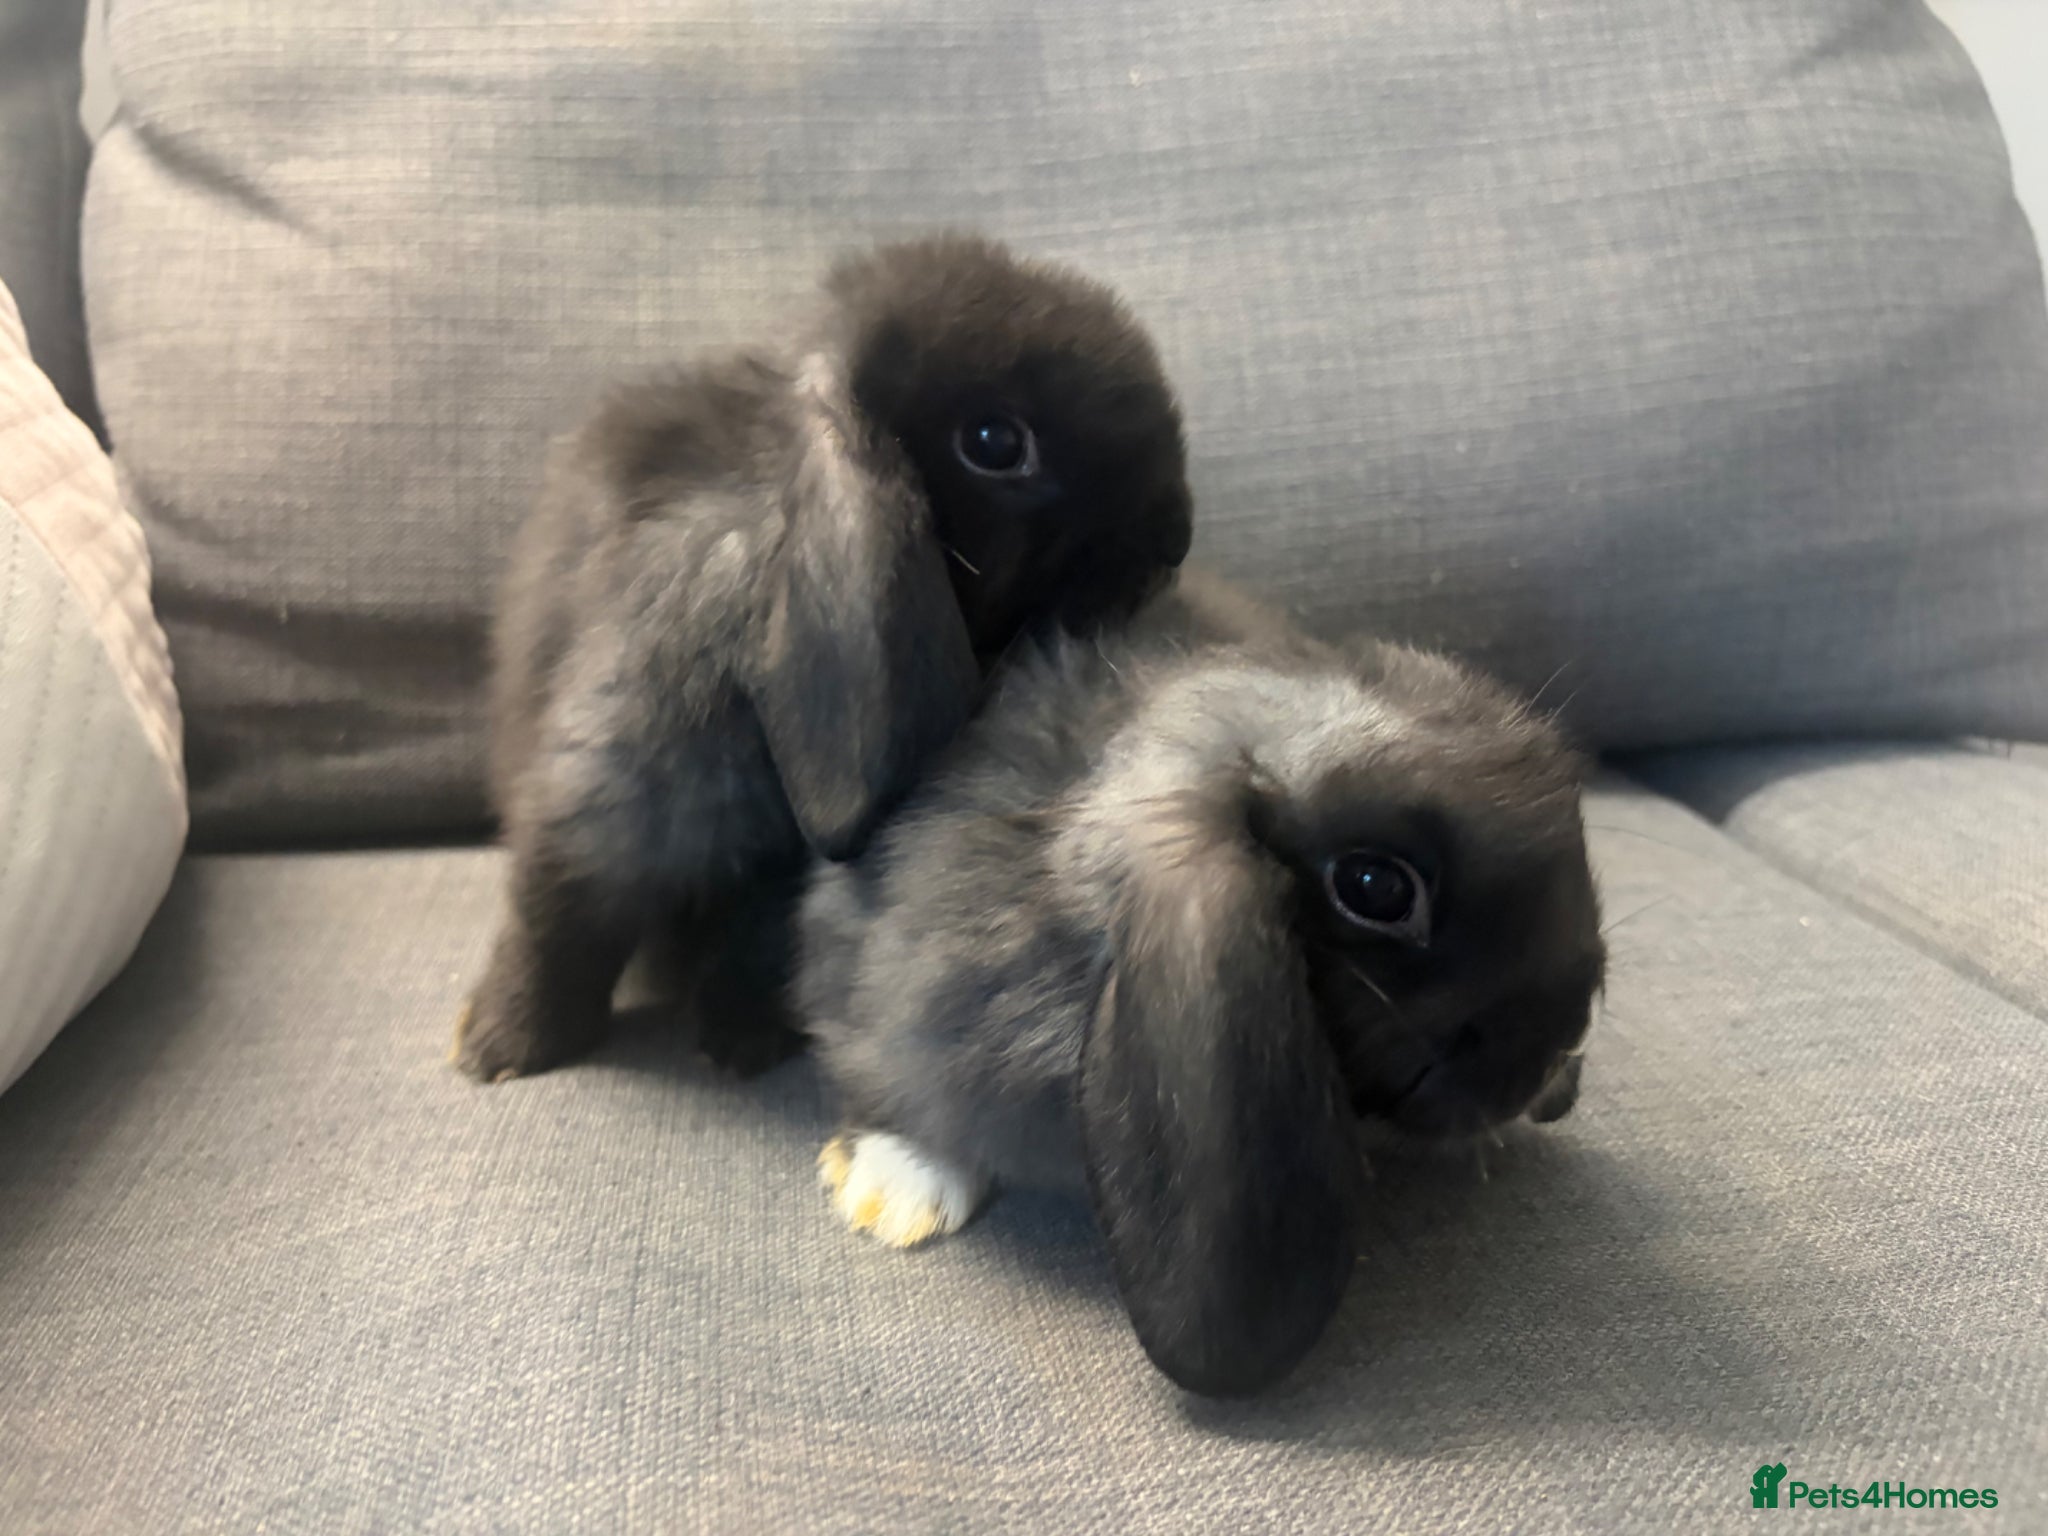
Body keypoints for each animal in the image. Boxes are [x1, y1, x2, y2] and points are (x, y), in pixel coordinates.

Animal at [453, 234, 1192, 1084]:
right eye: (995, 444)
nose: (1177, 538)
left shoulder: (777, 884)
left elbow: (754, 948)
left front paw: (744, 1044)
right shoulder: (596, 800)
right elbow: (557, 924)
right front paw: (504, 1049)